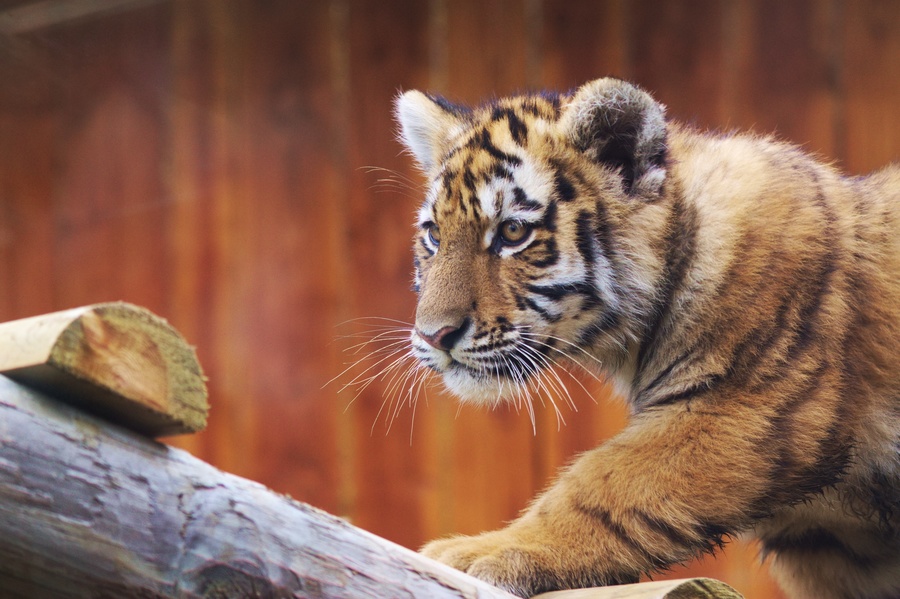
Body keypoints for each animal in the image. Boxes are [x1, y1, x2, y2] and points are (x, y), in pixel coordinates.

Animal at [392, 77, 900, 599]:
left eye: (513, 232)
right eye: (434, 235)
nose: (434, 335)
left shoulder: (746, 409)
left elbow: (604, 483)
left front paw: (483, 552)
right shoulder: (831, 543)